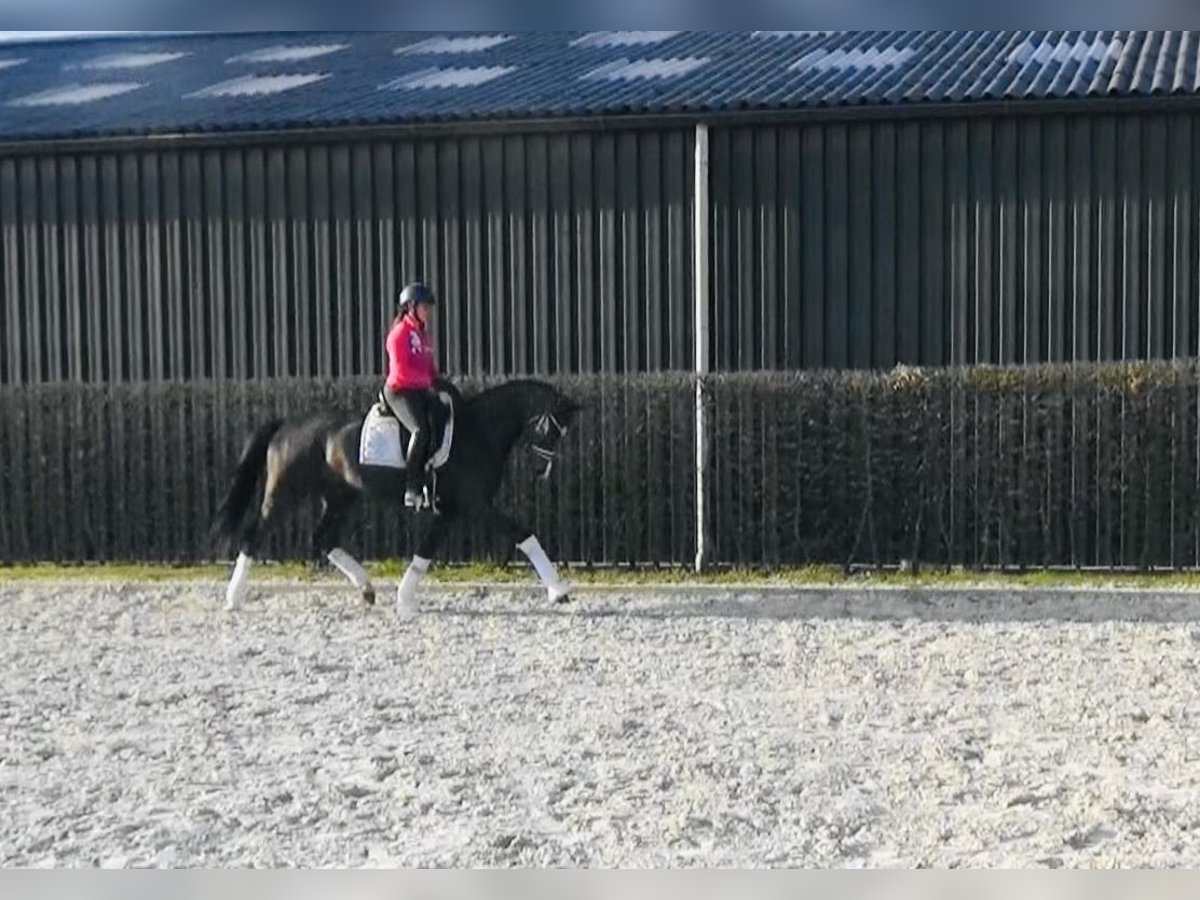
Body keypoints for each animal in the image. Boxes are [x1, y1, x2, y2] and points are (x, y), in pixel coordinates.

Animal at [213, 376, 583, 619]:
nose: (542, 471)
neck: (478, 433)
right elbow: (524, 534)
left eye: (563, 433)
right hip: (285, 493)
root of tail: (287, 424)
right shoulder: (474, 506)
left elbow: (424, 554)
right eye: (551, 428)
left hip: (341, 496)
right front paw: (559, 591)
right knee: (255, 535)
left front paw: (404, 600)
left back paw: (366, 589)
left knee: (323, 538)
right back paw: (233, 598)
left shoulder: (450, 511)